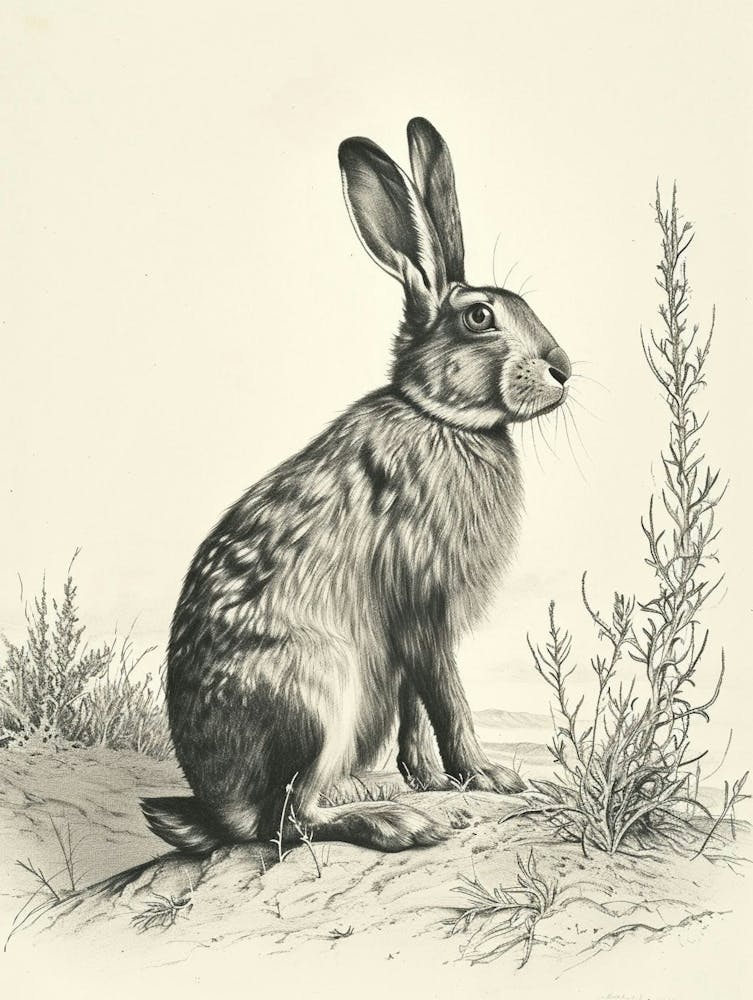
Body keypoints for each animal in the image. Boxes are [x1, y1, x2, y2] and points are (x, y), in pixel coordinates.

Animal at [141, 117, 571, 855]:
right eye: (480, 318)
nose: (563, 368)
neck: (439, 415)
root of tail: (214, 807)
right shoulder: (424, 604)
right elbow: (447, 699)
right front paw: (486, 777)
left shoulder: (408, 637)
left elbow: (415, 707)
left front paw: (428, 777)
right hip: (316, 690)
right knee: (288, 821)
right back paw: (398, 822)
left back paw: (372, 791)